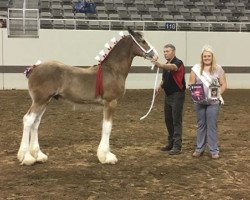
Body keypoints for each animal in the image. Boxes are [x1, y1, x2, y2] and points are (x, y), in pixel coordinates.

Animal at [17, 28, 155, 166]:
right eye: (143, 41)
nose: (154, 55)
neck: (112, 71)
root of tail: (34, 69)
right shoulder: (111, 102)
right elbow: (107, 127)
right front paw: (106, 157)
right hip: (39, 101)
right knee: (28, 120)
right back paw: (26, 157)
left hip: (45, 101)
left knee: (36, 122)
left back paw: (38, 155)